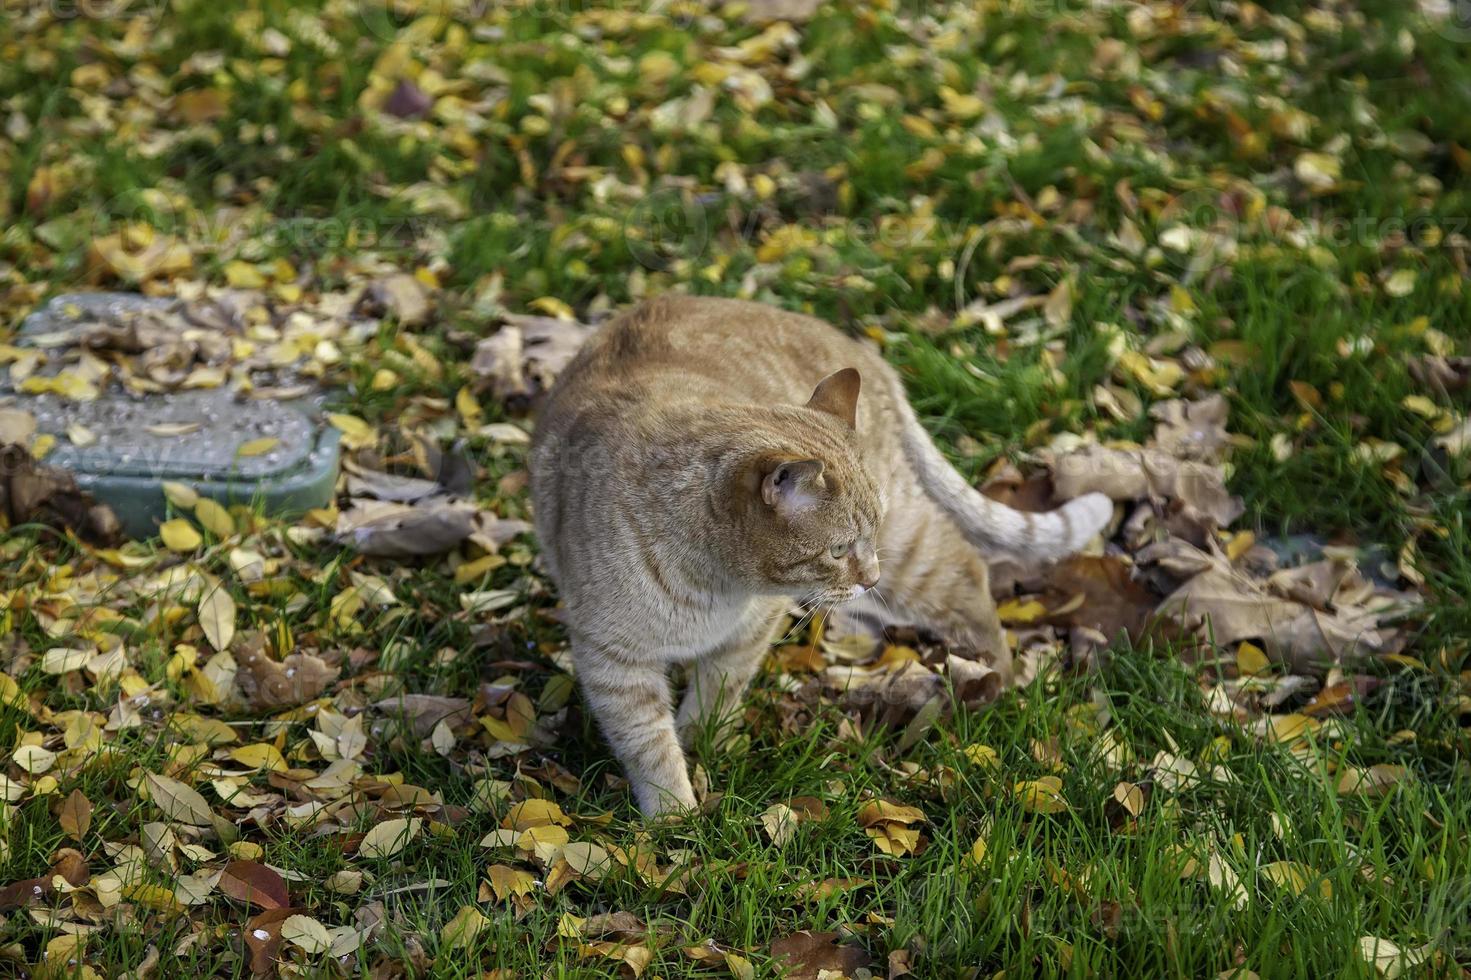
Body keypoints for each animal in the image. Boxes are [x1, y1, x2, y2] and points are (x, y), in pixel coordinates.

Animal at [532, 294, 1112, 812]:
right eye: (837, 550)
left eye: (863, 535)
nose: (869, 575)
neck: (714, 584)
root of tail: (862, 348)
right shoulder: (614, 660)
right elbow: (650, 746)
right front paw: (674, 820)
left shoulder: (750, 632)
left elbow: (715, 696)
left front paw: (699, 756)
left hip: (909, 548)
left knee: (966, 570)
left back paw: (997, 684)